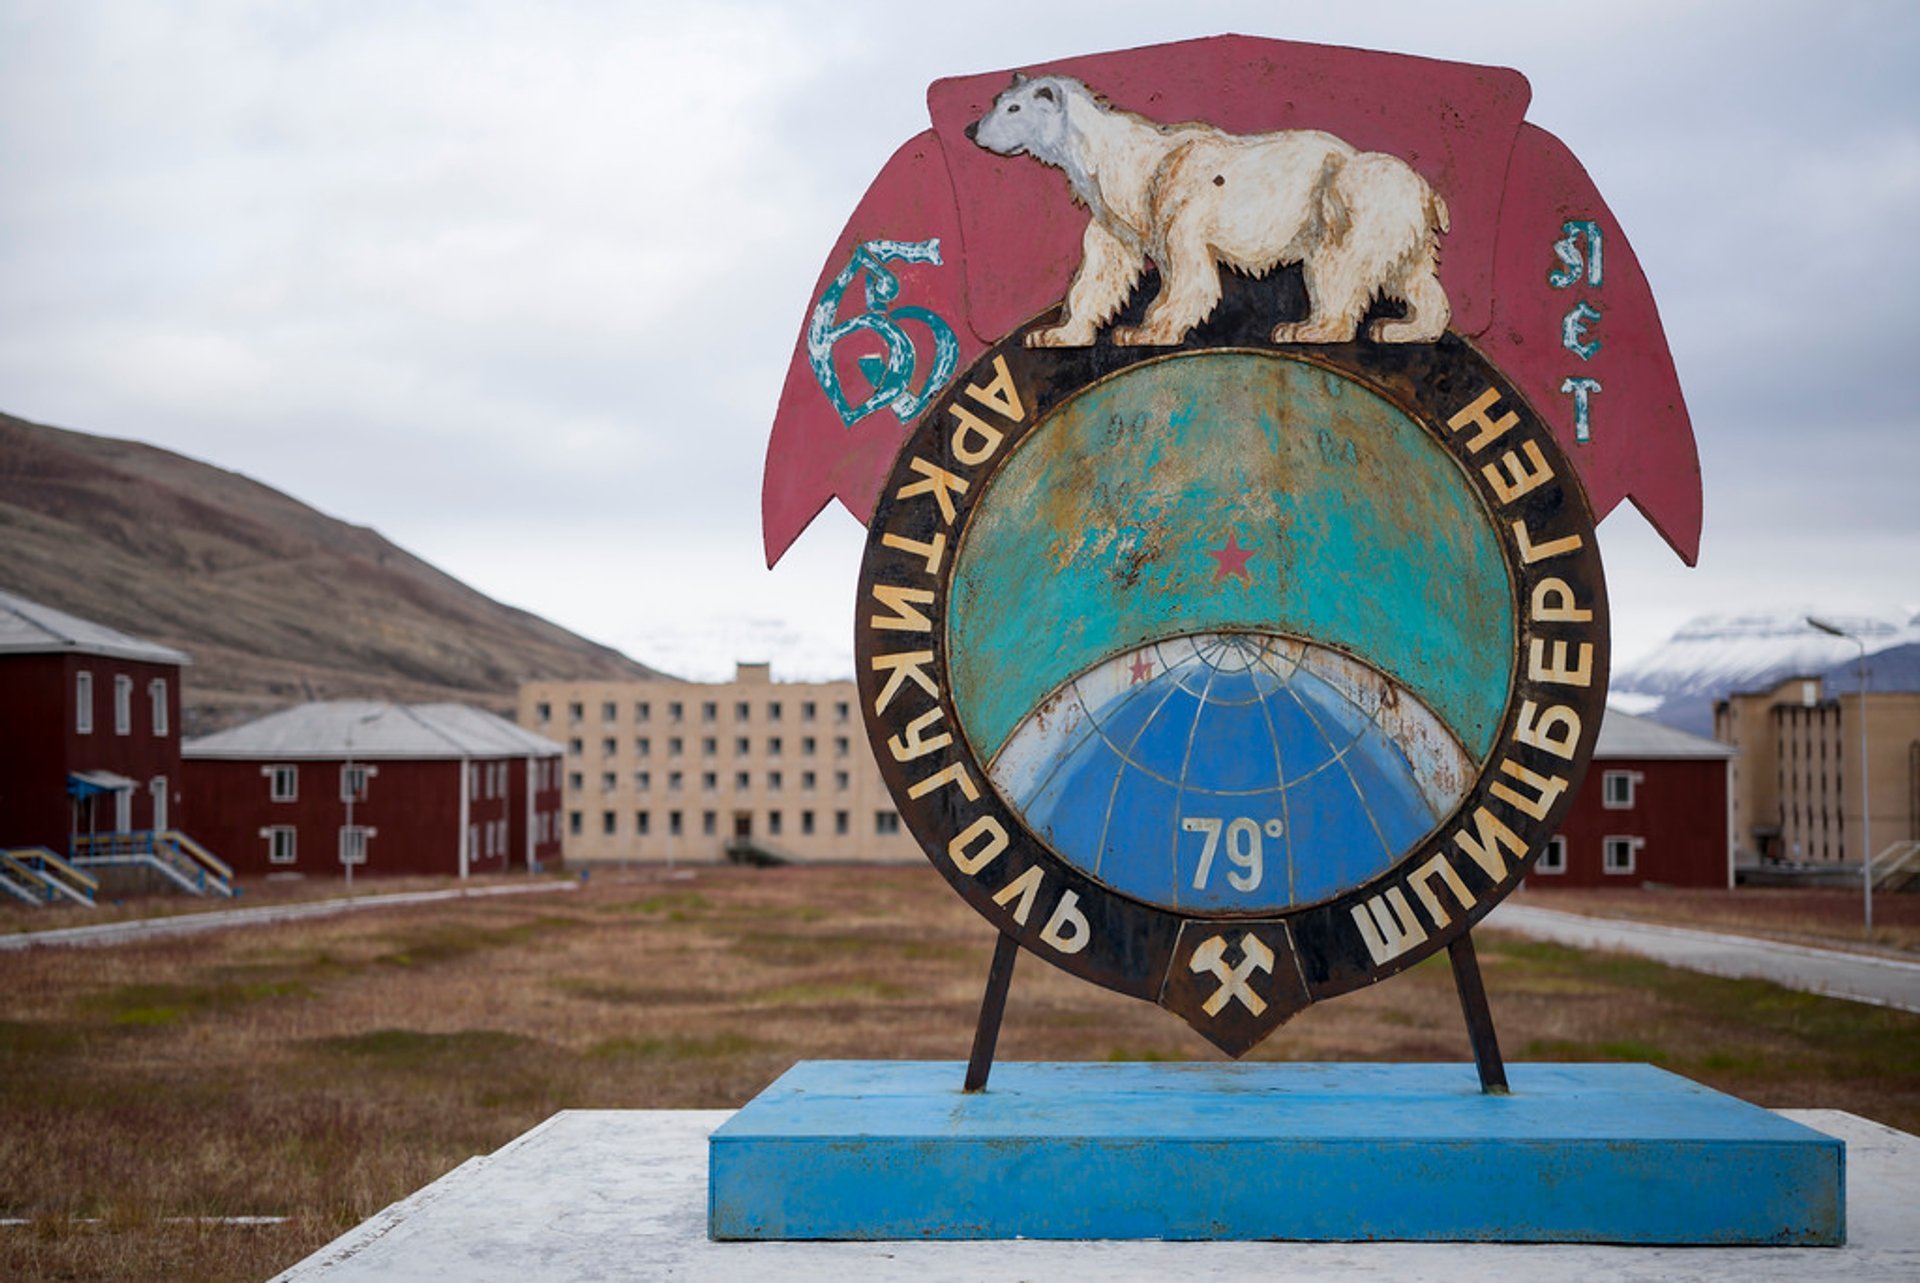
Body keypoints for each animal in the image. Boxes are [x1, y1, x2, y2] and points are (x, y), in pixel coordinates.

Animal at [967, 74, 1443, 345]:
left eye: (1013, 107)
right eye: (997, 99)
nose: (971, 129)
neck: (1123, 161)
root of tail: (1426, 192)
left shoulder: (1180, 203)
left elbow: (1188, 273)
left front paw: (1145, 331)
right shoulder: (1118, 217)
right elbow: (1101, 271)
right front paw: (1055, 333)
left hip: (1348, 202)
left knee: (1335, 268)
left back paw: (1305, 329)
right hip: (1401, 227)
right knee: (1413, 278)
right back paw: (1402, 328)